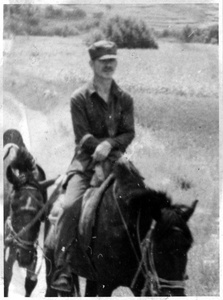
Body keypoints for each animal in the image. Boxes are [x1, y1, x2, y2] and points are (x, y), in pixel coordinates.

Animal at [3, 129, 55, 298]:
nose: (25, 259)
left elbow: (31, 281)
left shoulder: (31, 245)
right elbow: (7, 273)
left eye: (41, 212)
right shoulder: (11, 239)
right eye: (13, 206)